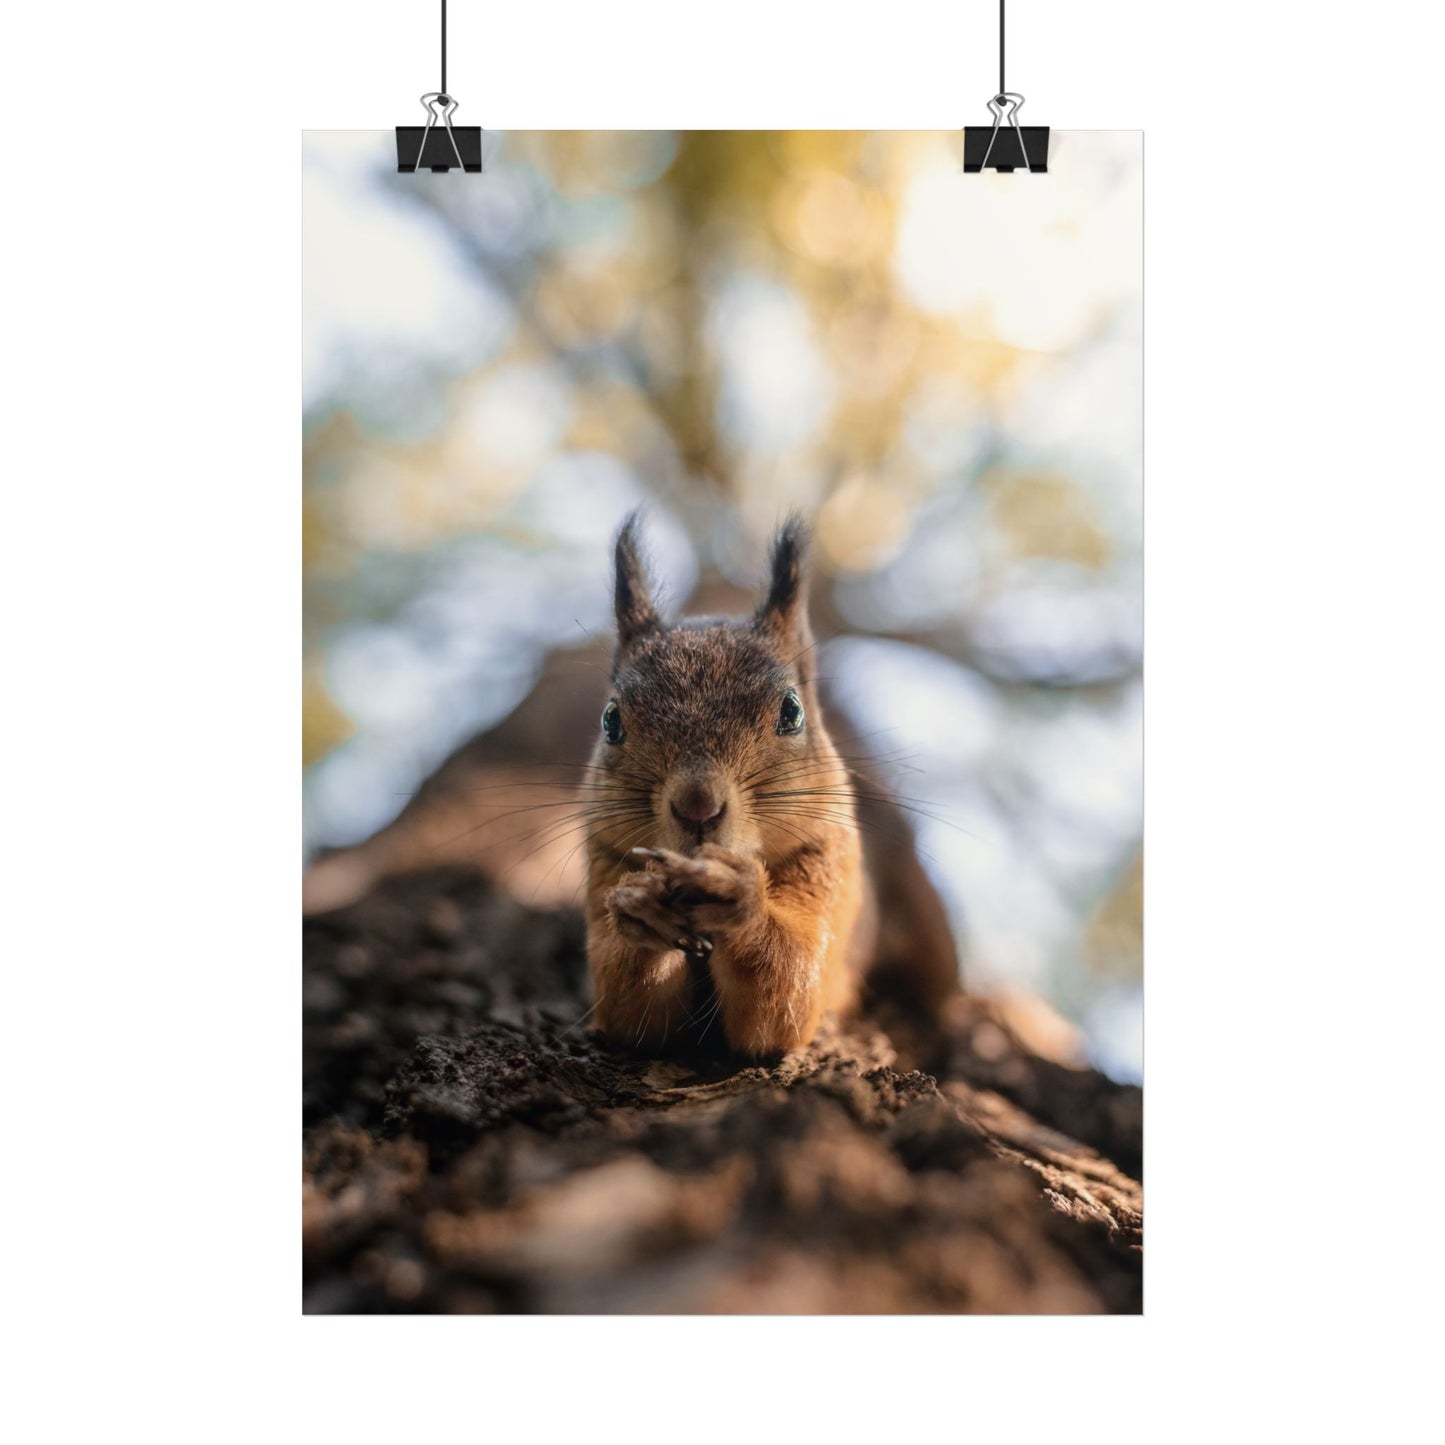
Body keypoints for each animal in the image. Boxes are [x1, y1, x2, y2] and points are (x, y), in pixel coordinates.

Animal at [585, 513, 959, 1058]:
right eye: (611, 720)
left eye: (792, 711)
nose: (697, 806)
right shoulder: (601, 861)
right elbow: (631, 1011)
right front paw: (642, 905)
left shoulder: (831, 864)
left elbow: (785, 993)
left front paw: (740, 895)